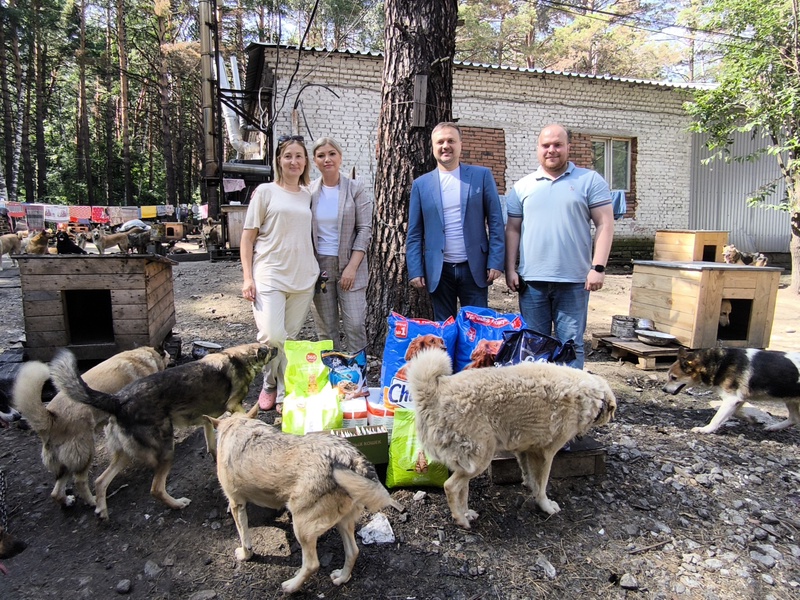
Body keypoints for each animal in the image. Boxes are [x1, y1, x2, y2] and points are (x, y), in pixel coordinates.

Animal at [13, 346, 170, 506]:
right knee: (80, 481)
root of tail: (50, 418)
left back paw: (67, 501)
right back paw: (93, 501)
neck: (141, 356)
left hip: (70, 460)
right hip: (86, 451)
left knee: (56, 492)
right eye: (169, 357)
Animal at [209, 410, 404, 592]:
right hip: (342, 522)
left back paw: (291, 587)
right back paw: (341, 577)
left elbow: (244, 538)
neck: (238, 425)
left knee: (312, 565)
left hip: (301, 527)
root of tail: (352, 459)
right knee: (353, 552)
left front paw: (245, 555)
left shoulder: (237, 504)